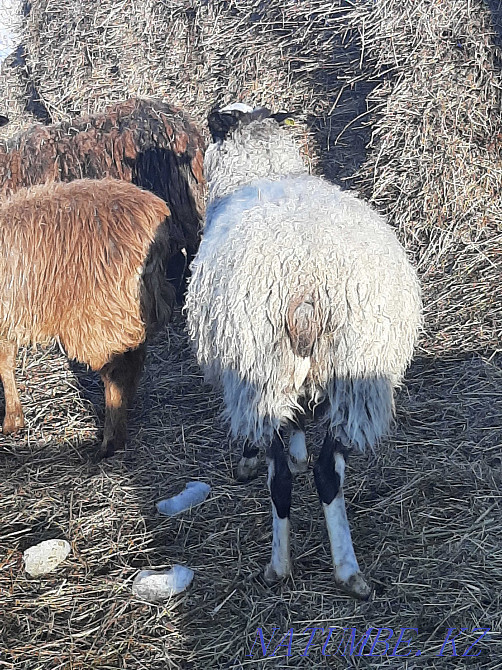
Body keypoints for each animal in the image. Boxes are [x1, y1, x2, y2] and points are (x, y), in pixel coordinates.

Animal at [0, 177, 175, 457]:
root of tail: (155, 212)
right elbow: (5, 363)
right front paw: (13, 420)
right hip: (128, 307)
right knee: (135, 357)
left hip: (99, 314)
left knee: (117, 371)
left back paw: (110, 442)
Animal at [185, 104, 422, 599]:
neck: (265, 170)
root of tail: (307, 286)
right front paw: (298, 448)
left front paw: (250, 458)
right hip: (355, 378)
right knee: (329, 474)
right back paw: (349, 570)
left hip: (260, 370)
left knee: (282, 483)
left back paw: (279, 565)